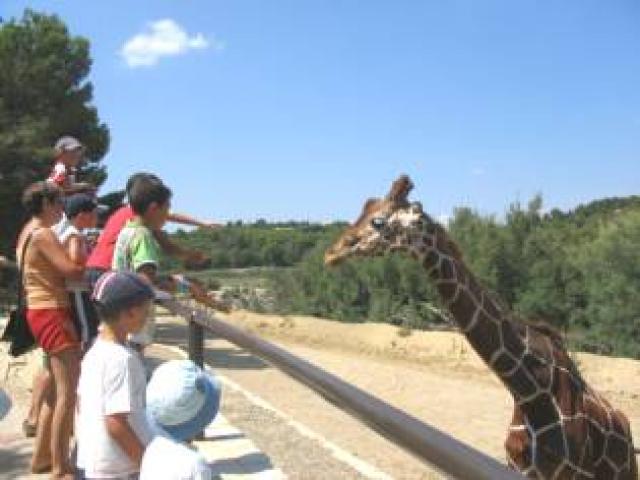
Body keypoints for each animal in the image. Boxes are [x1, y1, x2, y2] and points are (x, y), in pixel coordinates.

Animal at [328, 176, 636, 480]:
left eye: (378, 221)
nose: (332, 253)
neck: (531, 393)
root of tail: (627, 429)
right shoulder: (517, 464)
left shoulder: (562, 473)